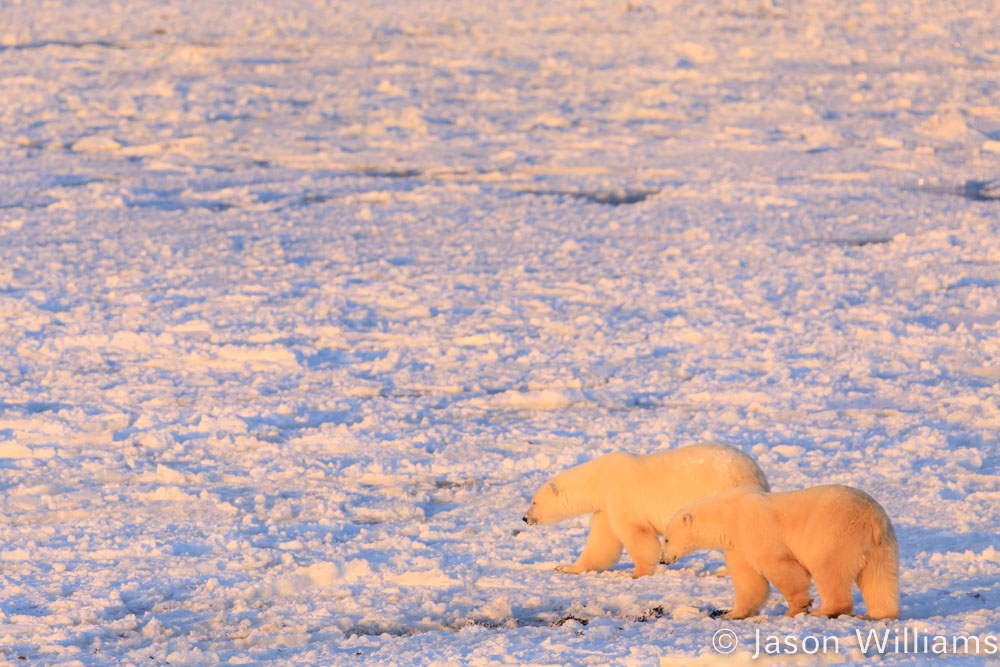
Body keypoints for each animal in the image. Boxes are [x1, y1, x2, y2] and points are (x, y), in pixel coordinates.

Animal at [524, 444, 764, 580]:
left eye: (534, 501)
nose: (525, 518)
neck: (600, 478)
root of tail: (755, 472)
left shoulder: (621, 494)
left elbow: (636, 533)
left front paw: (638, 573)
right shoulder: (605, 506)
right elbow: (601, 542)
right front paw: (565, 567)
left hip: (723, 490)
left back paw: (725, 571)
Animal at [660, 486, 904, 620]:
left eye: (667, 538)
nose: (663, 560)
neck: (730, 513)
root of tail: (871, 519)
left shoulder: (753, 529)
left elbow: (778, 565)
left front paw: (797, 607)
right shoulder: (736, 545)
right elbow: (748, 580)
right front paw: (733, 614)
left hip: (834, 533)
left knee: (829, 569)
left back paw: (825, 610)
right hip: (883, 545)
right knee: (879, 578)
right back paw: (877, 614)